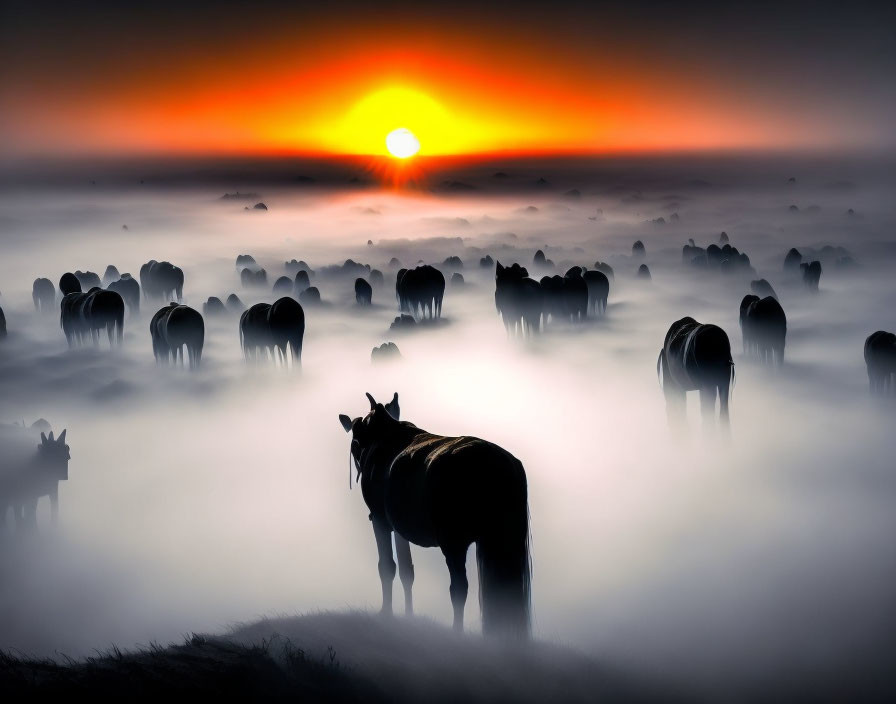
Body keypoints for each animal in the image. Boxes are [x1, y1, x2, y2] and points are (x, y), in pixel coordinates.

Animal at [340, 396, 528, 640]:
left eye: (355, 442)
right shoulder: (399, 528)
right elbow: (407, 570)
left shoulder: (381, 521)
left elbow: (387, 567)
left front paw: (386, 614)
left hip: (453, 543)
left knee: (459, 587)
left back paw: (456, 632)